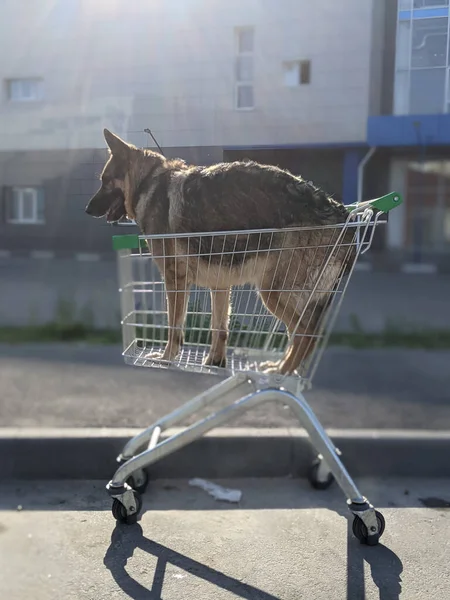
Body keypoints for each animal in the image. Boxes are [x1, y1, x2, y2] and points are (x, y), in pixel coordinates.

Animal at [85, 130, 356, 376]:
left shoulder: (175, 281)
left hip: (272, 292)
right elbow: (220, 329)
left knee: (306, 332)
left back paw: (282, 370)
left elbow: (175, 326)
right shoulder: (220, 286)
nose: (86, 210)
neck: (149, 183)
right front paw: (215, 361)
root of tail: (343, 215)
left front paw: (167, 358)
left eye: (105, 180)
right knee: (304, 332)